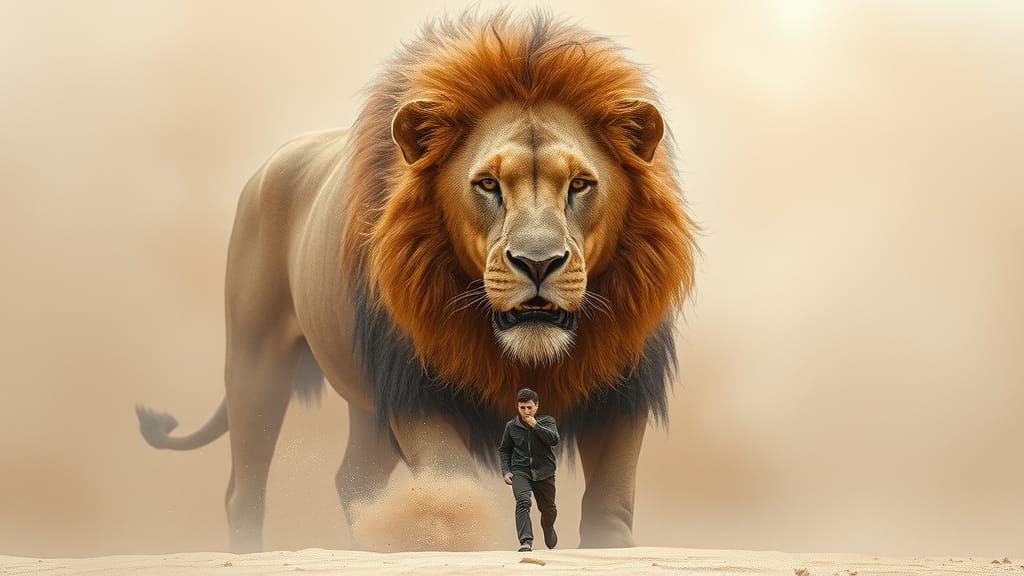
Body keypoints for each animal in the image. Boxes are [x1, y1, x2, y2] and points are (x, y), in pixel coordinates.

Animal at [136, 10, 697, 552]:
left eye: (580, 184)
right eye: (488, 184)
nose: (537, 263)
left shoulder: (624, 384)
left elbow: (611, 492)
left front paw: (611, 545)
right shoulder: (414, 384)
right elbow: (449, 478)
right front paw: (447, 534)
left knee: (353, 477)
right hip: (256, 358)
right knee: (244, 485)